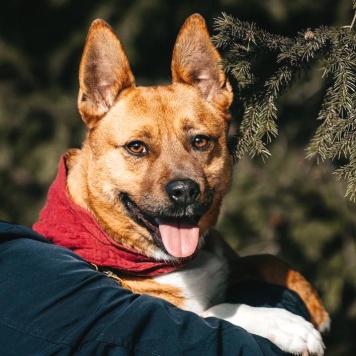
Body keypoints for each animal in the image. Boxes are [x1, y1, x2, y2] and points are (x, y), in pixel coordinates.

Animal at [34, 13, 330, 354]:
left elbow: (264, 257)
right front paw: (289, 325)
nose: (185, 191)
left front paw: (311, 299)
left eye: (200, 141)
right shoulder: (179, 312)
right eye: (136, 147)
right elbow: (221, 308)